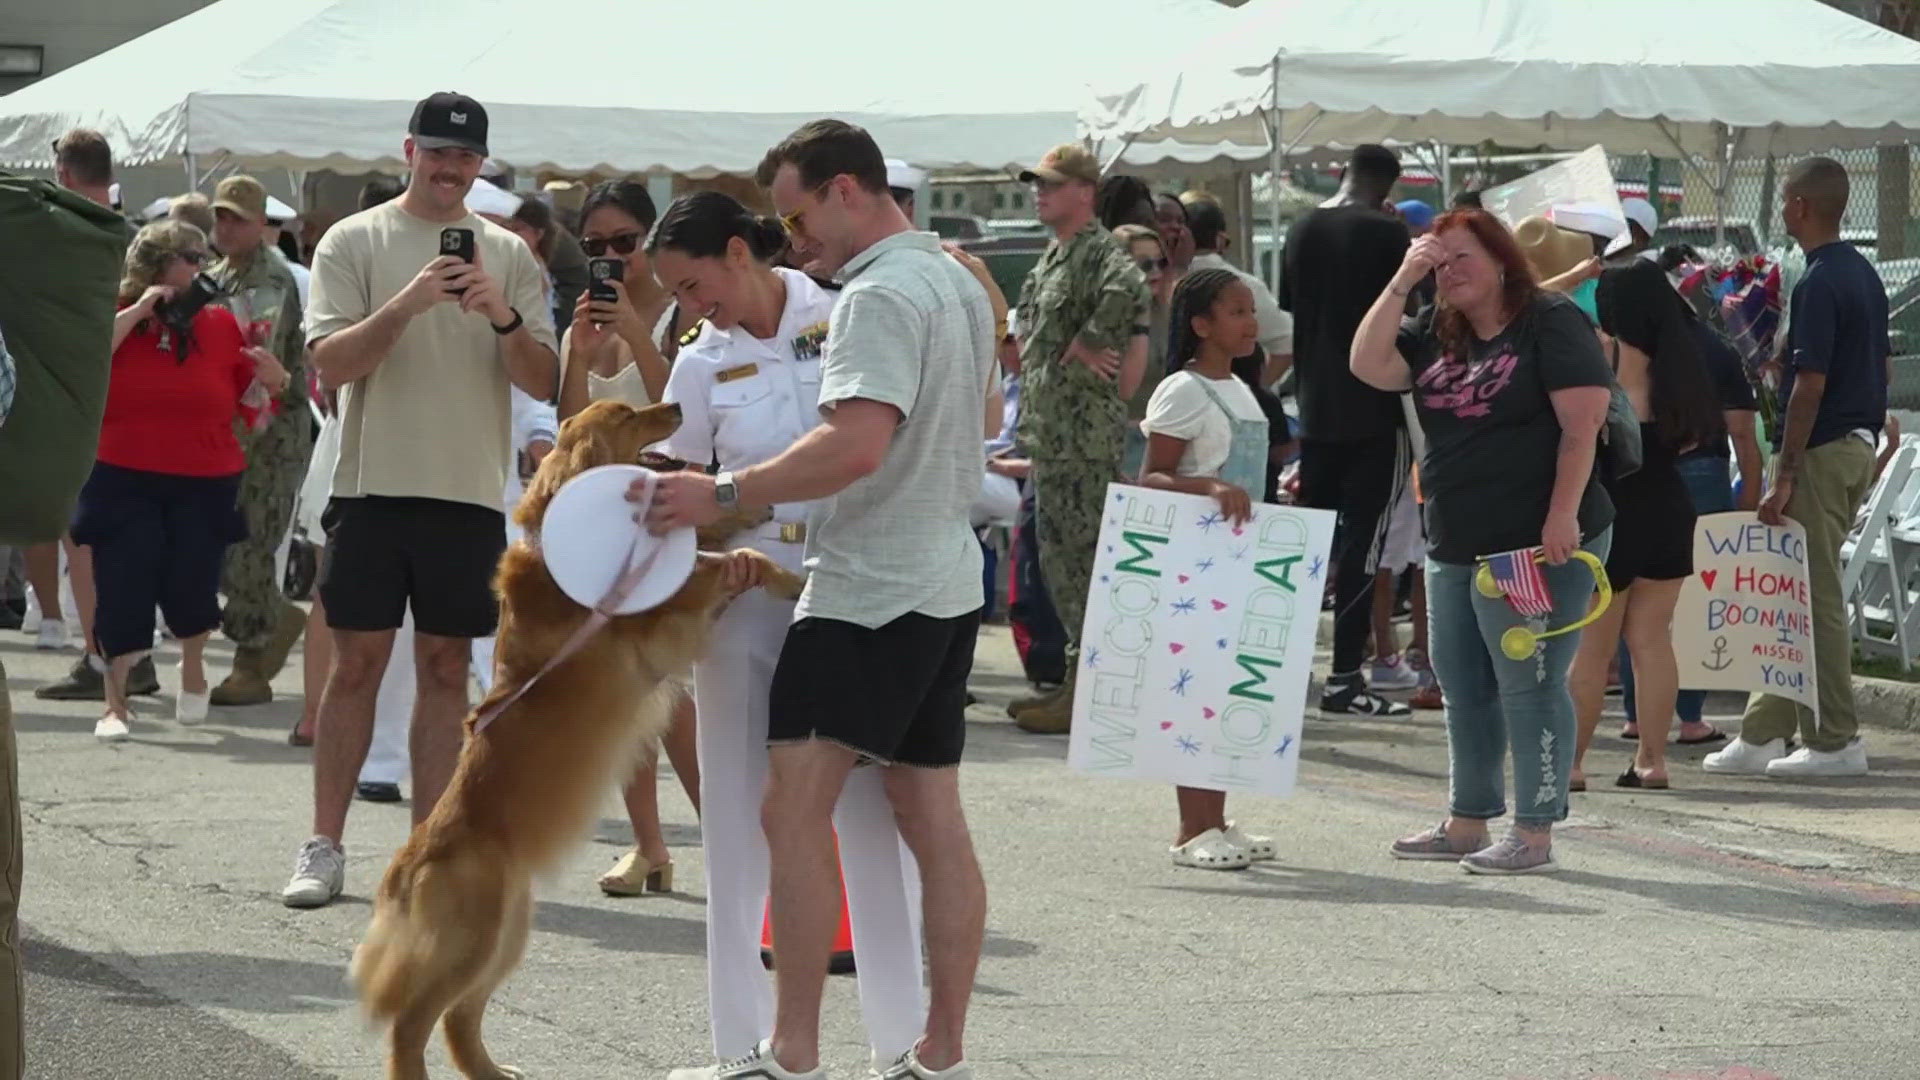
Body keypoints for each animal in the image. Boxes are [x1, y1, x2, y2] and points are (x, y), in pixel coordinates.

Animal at [353, 399, 802, 1068]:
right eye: (628, 414)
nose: (675, 403)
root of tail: (407, 865)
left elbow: (714, 548)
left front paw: (746, 510)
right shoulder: (662, 616)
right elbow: (722, 566)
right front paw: (790, 579)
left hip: (508, 931)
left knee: (460, 1020)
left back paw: (498, 1073)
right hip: (473, 937)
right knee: (412, 1024)